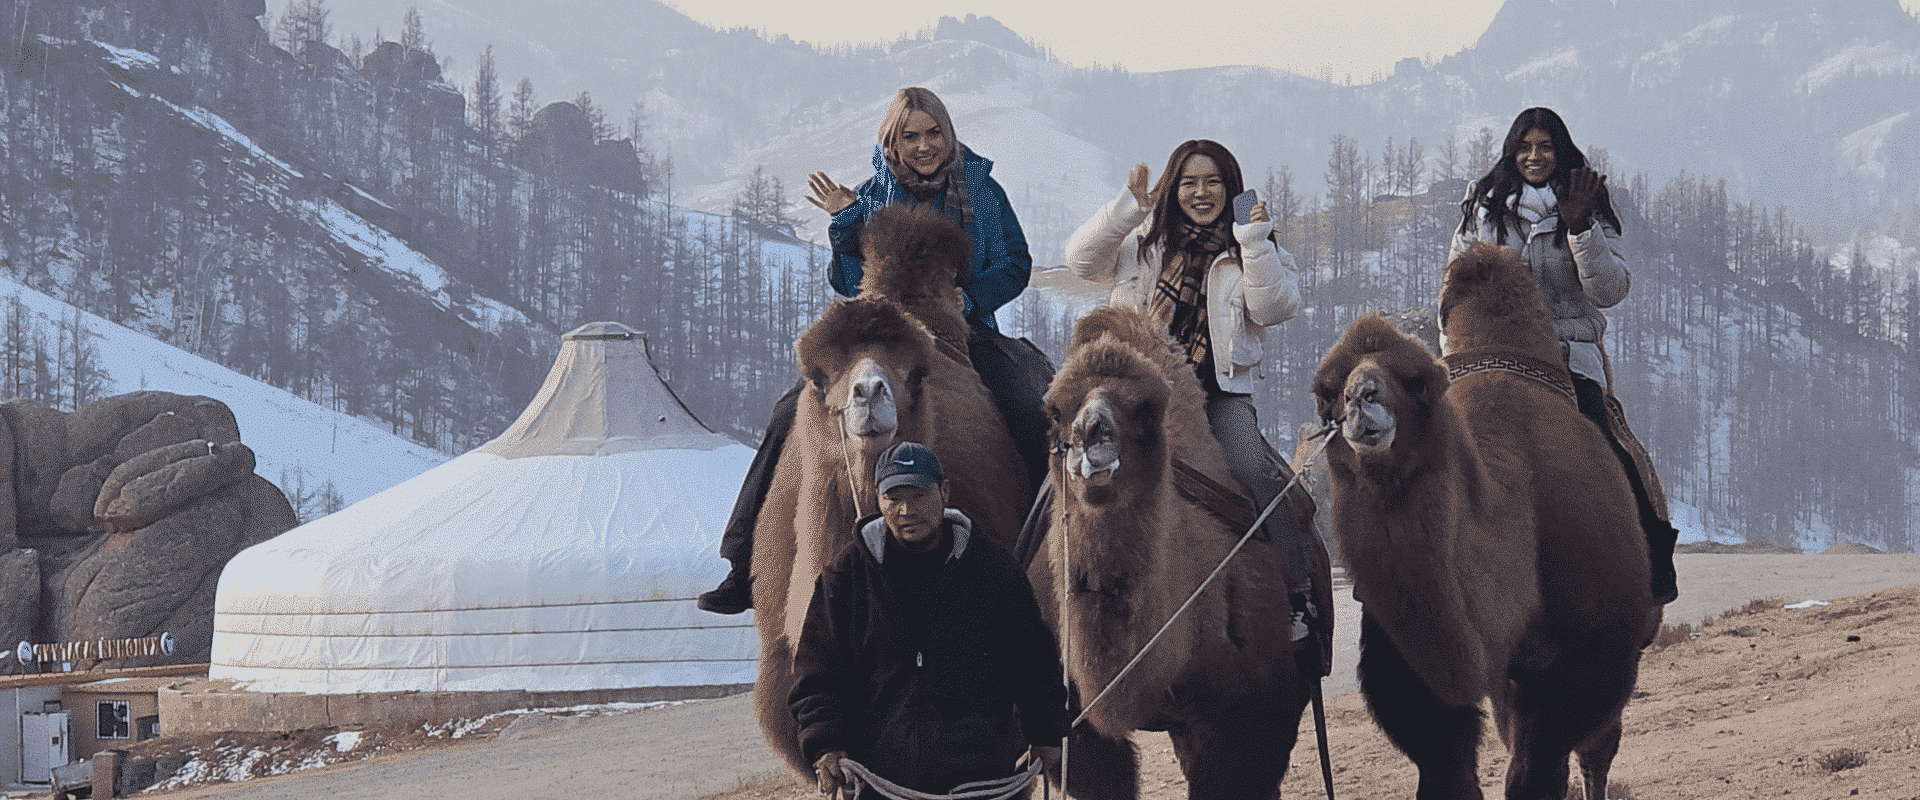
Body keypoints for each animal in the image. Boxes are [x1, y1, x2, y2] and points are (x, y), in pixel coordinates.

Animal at [1310, 242, 1659, 800]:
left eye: (1418, 381)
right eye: (1326, 390)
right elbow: (1446, 763)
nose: (1360, 399)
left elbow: (1538, 768)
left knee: (1596, 751)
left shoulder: (1596, 649)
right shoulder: (1413, 661)